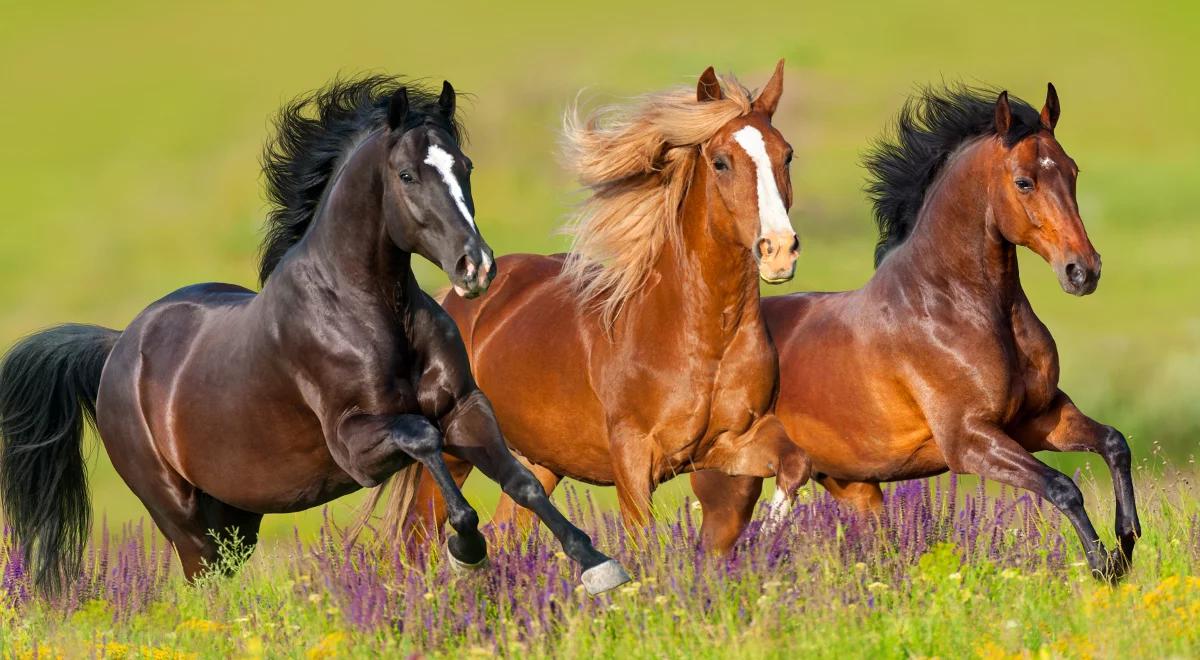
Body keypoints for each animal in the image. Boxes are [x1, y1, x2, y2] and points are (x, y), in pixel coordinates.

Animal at [0, 76, 633, 600]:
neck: (369, 312)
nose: (475, 267)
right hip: (180, 515)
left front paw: (598, 565)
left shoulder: (465, 406)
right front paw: (467, 550)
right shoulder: (356, 446)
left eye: (466, 166)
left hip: (236, 517)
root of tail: (117, 350)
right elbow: (423, 438)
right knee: (205, 585)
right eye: (407, 175)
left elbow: (523, 481)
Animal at [369, 60, 811, 537]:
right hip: (455, 450)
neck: (704, 338)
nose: (779, 250)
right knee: (418, 535)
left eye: (786, 155)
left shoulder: (733, 441)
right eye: (721, 162)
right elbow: (642, 539)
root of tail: (453, 300)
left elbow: (796, 463)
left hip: (539, 460)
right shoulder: (633, 459)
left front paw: (767, 533)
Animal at [691, 85, 1137, 583]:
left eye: (1072, 171)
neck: (954, 306)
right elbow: (1062, 487)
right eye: (1024, 182)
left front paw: (1127, 541)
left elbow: (1114, 443)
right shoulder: (970, 441)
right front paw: (1104, 565)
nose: (1083, 271)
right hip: (731, 484)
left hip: (854, 487)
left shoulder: (1040, 418)